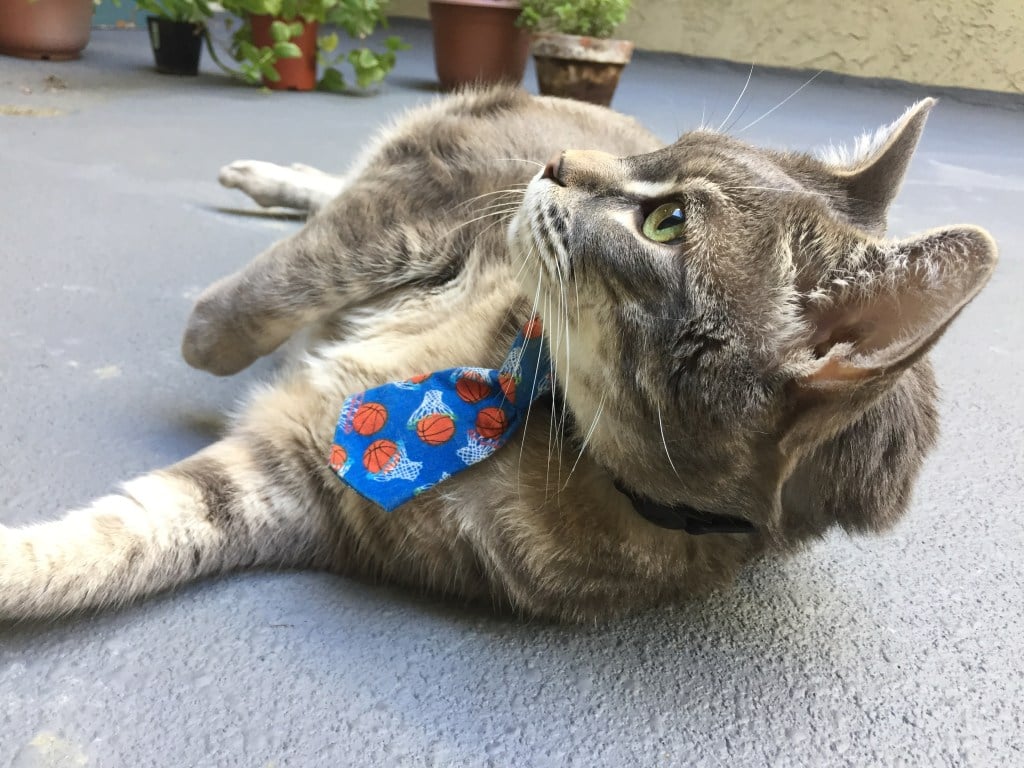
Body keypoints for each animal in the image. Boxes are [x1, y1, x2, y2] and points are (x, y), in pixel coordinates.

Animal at [0, 87, 991, 626]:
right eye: (664, 153)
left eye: (668, 220)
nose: (561, 162)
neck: (522, 396)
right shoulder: (411, 212)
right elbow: (237, 315)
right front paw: (213, 324)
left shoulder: (297, 483)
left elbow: (114, 542)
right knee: (332, 192)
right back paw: (259, 176)